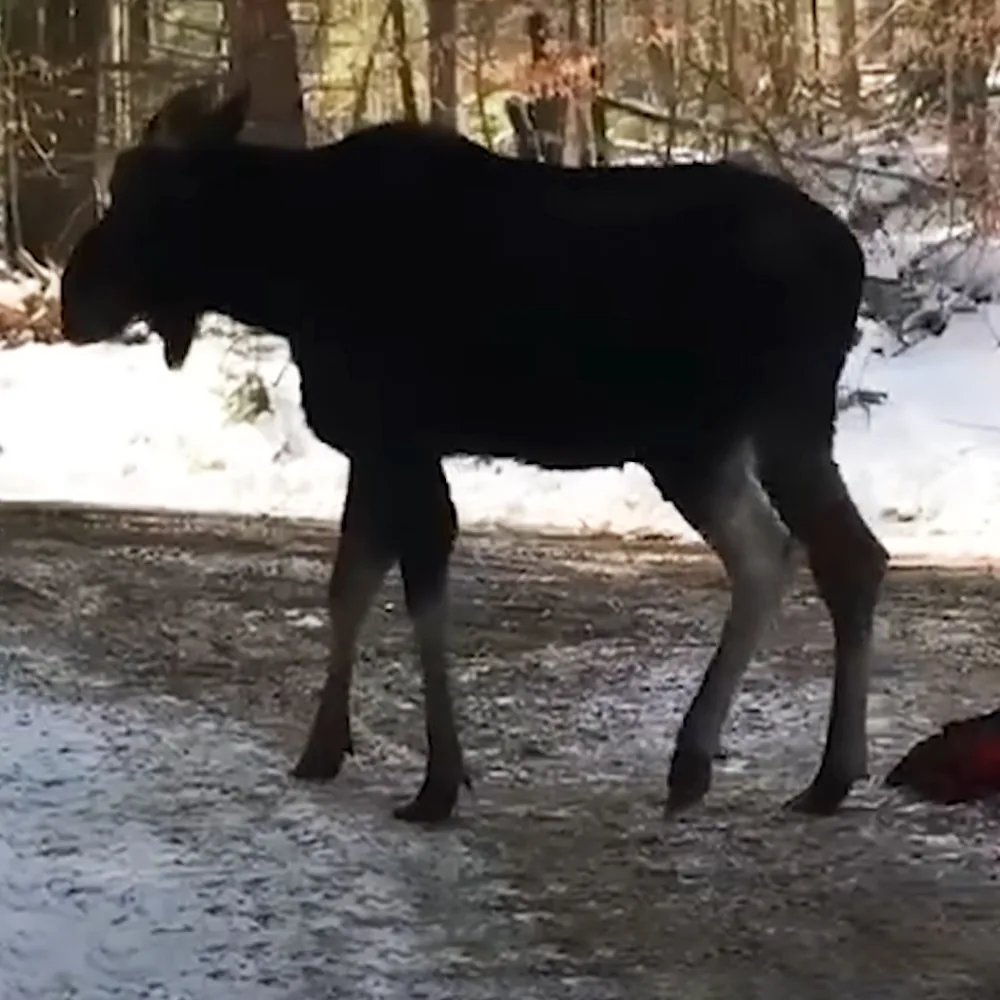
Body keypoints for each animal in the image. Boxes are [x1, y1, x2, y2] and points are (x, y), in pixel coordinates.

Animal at [59, 82, 888, 825]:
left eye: (147, 197)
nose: (73, 300)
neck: (286, 283)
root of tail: (852, 259)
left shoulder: (399, 441)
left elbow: (420, 597)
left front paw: (438, 782)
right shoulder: (373, 447)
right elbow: (347, 587)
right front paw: (323, 747)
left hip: (751, 424)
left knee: (825, 553)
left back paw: (797, 772)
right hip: (711, 441)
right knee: (793, 553)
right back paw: (738, 767)